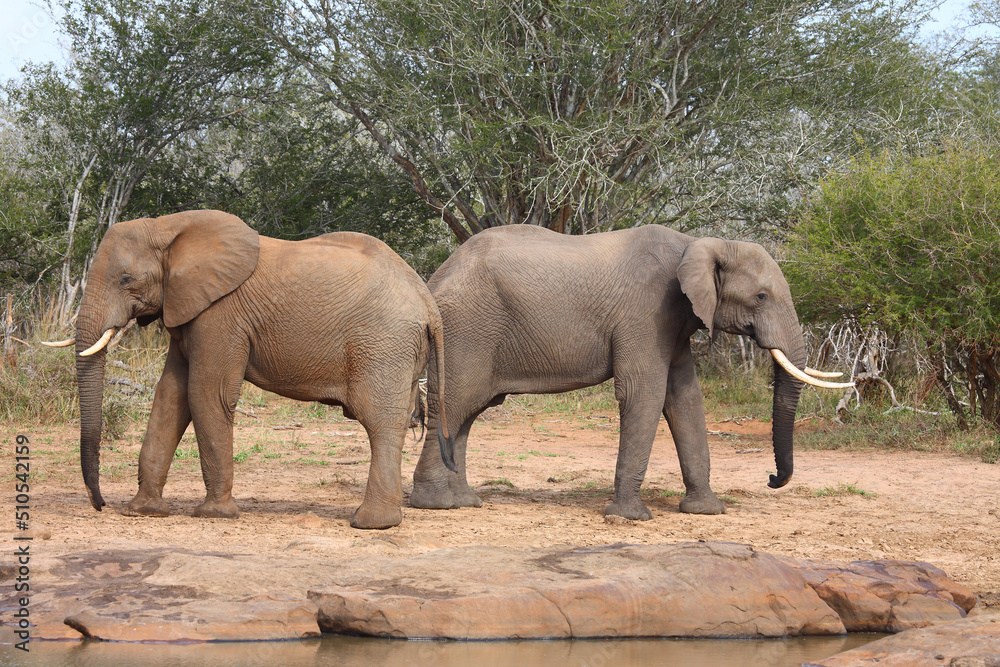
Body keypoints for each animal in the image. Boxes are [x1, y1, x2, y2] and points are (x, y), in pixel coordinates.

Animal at [45, 211, 452, 528]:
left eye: (125, 279)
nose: (100, 505)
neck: (168, 228)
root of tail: (428, 303)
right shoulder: (188, 310)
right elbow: (169, 397)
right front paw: (142, 512)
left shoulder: (220, 315)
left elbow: (205, 394)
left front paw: (213, 515)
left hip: (383, 343)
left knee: (379, 421)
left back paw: (370, 524)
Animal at [410, 224, 856, 520]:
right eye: (761, 297)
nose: (770, 478)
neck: (698, 244)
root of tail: (437, 275)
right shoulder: (646, 313)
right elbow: (645, 393)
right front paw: (629, 517)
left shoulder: (674, 322)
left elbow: (685, 397)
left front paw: (707, 511)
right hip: (467, 328)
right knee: (458, 402)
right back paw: (437, 505)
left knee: (468, 412)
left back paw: (465, 501)